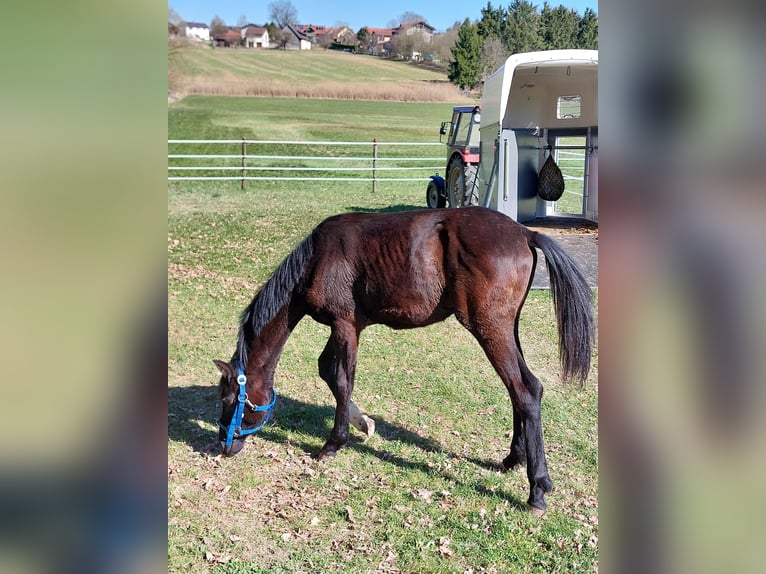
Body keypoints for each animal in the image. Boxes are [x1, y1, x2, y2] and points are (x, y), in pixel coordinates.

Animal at [213, 206, 594, 513]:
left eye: (230, 399)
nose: (223, 445)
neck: (317, 258)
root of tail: (525, 233)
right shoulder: (349, 327)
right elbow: (328, 373)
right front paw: (363, 423)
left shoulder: (344, 324)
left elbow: (341, 379)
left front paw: (334, 443)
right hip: (505, 329)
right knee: (520, 390)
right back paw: (513, 458)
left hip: (490, 329)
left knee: (525, 390)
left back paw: (537, 489)